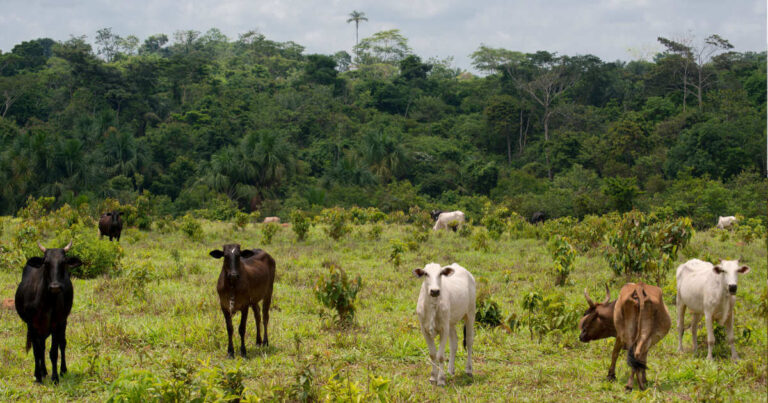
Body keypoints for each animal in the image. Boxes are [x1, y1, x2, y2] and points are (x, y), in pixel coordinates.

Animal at [14, 241, 80, 384]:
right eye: (46, 262)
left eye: (63, 262)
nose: (55, 287)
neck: (46, 302)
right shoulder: (32, 325)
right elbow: (37, 351)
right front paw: (38, 376)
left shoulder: (57, 323)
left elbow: (54, 352)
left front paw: (55, 377)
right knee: (41, 347)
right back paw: (43, 371)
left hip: (63, 322)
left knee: (62, 343)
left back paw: (63, 370)